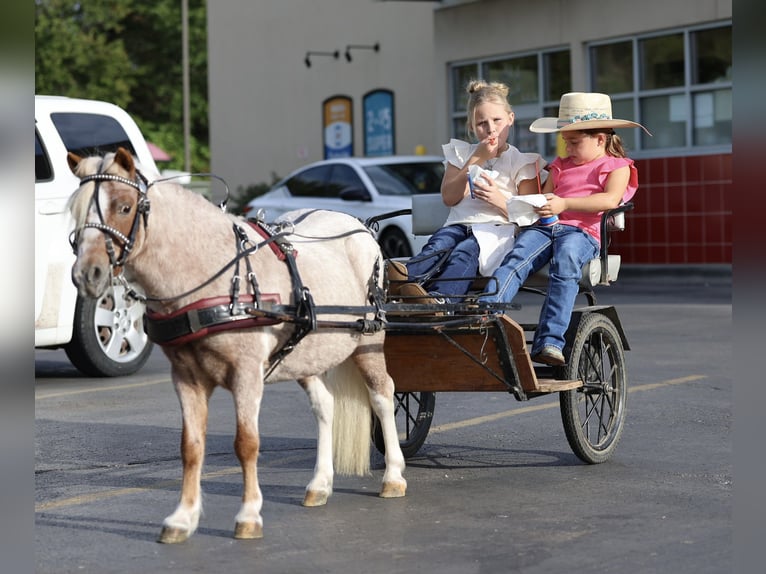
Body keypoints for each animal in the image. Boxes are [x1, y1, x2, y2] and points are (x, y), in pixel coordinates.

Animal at [67, 147, 406, 544]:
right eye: (75, 210)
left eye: (123, 206)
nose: (87, 274)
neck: (208, 274)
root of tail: (361, 228)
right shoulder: (186, 378)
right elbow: (191, 447)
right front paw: (183, 518)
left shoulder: (246, 375)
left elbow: (246, 443)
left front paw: (248, 515)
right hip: (306, 354)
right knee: (324, 406)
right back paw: (320, 484)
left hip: (369, 342)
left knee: (383, 396)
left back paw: (394, 476)